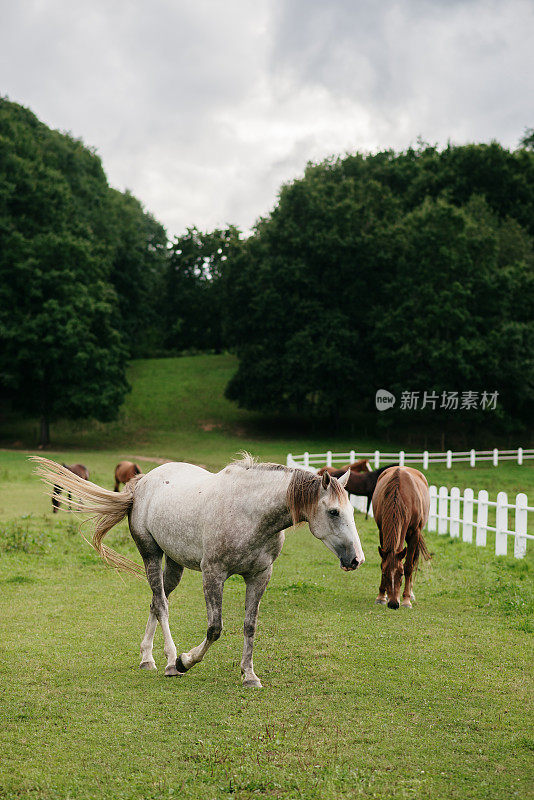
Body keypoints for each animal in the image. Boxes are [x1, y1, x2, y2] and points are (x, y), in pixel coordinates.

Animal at [33, 456, 366, 688]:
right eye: (333, 512)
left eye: (351, 510)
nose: (357, 560)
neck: (250, 513)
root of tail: (142, 484)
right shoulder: (213, 574)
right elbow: (215, 628)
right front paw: (186, 661)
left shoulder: (260, 576)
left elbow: (250, 626)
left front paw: (249, 675)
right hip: (151, 554)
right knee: (162, 605)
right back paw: (170, 661)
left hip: (174, 564)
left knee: (155, 601)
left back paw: (147, 658)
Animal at [374, 466, 434, 608]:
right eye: (384, 573)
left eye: (400, 574)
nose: (393, 604)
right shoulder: (382, 532)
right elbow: (383, 560)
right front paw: (381, 595)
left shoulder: (415, 533)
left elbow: (408, 566)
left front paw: (406, 599)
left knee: (413, 561)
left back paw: (410, 594)